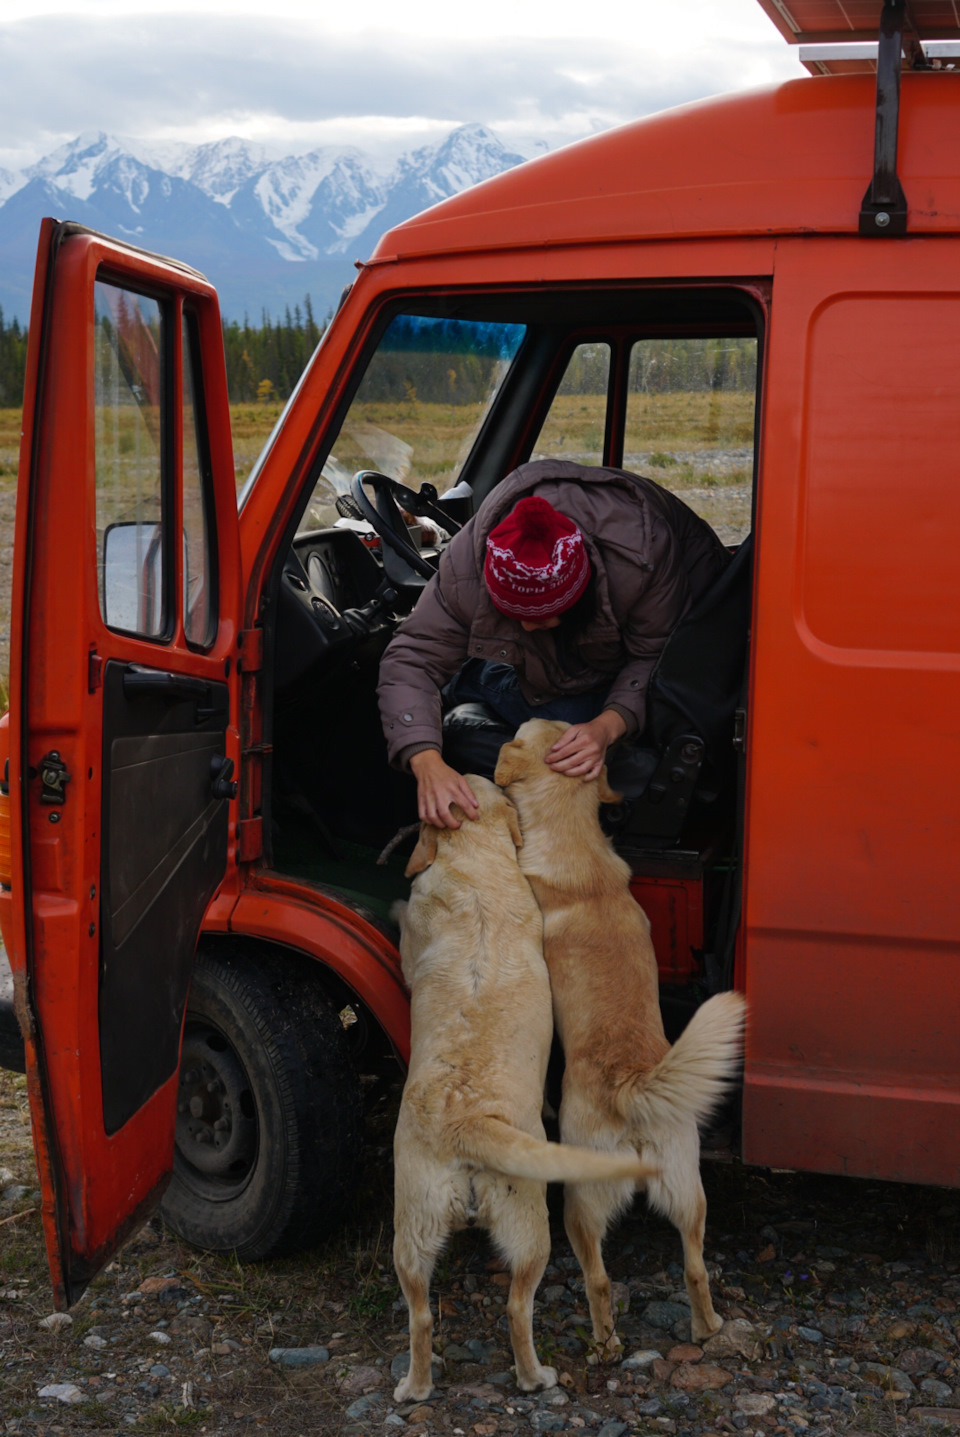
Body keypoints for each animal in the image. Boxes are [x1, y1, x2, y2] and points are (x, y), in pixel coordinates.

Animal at [390, 775, 652, 1402]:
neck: (476, 865)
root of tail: (465, 1121)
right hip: (518, 1231)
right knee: (511, 1309)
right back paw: (533, 1377)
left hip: (421, 1233)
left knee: (425, 1315)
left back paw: (419, 1387)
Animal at [494, 724, 747, 1350]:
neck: (576, 843)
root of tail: (633, 1086)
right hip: (689, 1193)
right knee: (696, 1268)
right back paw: (707, 1328)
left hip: (579, 1205)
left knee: (600, 1278)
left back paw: (604, 1343)